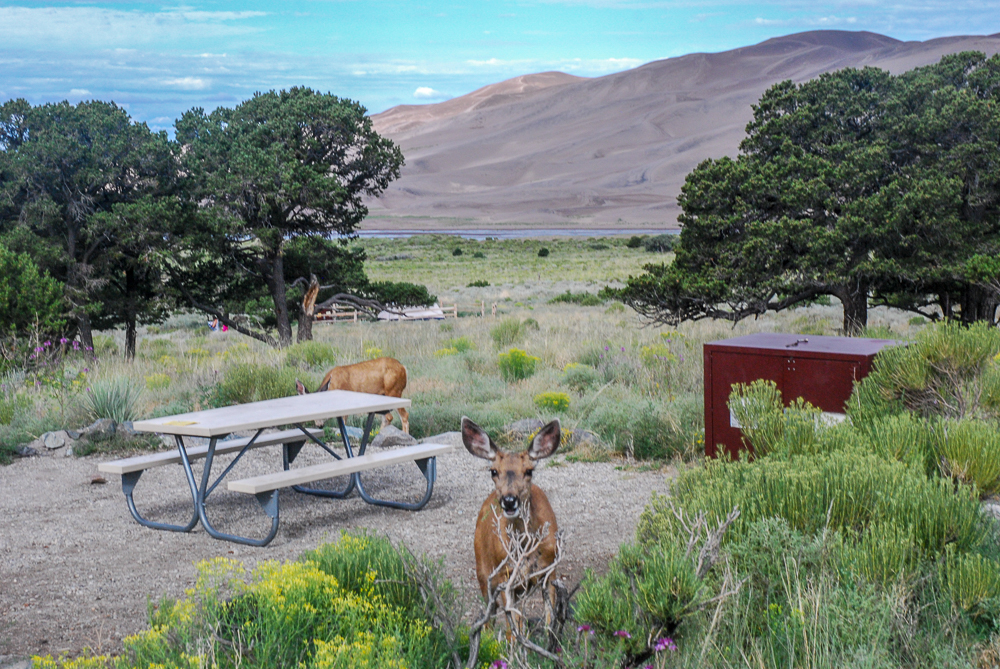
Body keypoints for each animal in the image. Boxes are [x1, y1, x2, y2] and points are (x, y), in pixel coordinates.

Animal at [460, 414, 564, 640]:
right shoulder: (504, 577)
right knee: (489, 619)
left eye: (528, 471)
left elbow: (549, 621)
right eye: (493, 471)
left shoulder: (550, 570)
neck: (525, 550)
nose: (509, 501)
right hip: (483, 571)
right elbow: (512, 629)